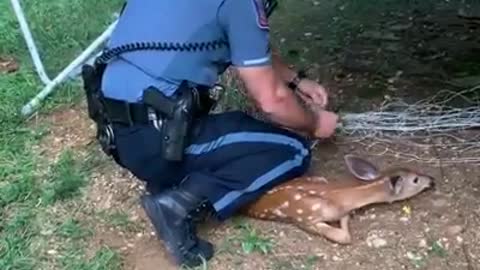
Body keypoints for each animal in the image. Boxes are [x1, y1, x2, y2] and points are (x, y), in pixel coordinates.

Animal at [240, 154, 436, 245]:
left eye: (412, 169)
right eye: (415, 180)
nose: (432, 180)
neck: (340, 195)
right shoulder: (306, 218)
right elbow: (342, 237)